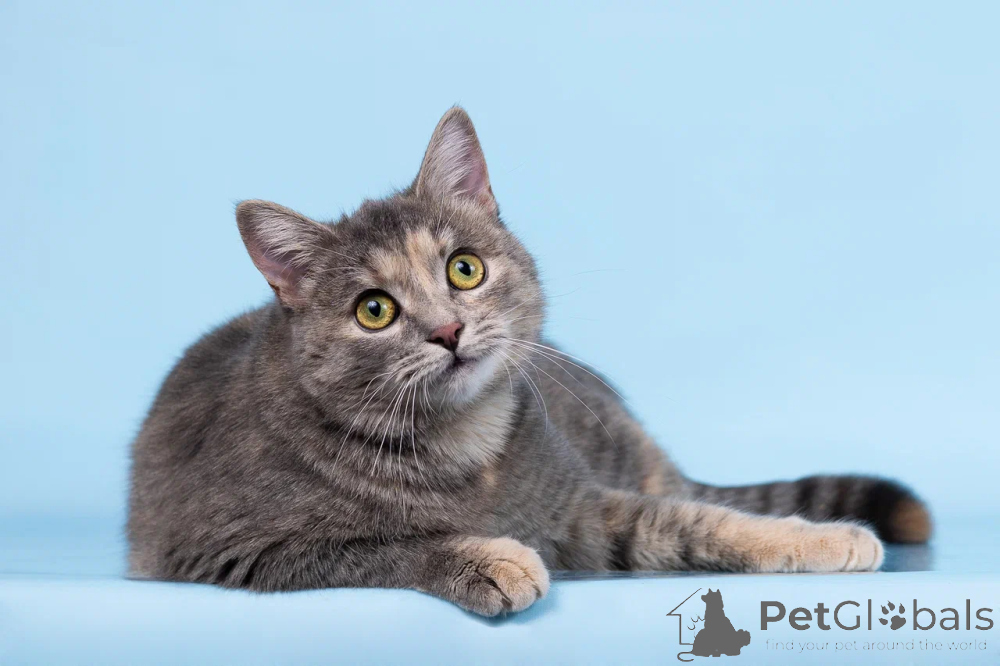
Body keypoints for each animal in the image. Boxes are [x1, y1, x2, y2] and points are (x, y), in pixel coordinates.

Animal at [127, 107, 931, 616]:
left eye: (464, 269)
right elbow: (389, 546)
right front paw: (492, 559)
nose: (448, 329)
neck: (462, 446)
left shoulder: (582, 509)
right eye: (374, 310)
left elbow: (702, 523)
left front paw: (819, 538)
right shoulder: (246, 550)